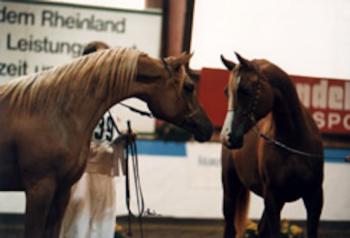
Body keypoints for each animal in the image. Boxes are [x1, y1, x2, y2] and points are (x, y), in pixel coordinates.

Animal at [220, 53, 324, 238]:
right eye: (227, 92)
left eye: (245, 90)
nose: (226, 137)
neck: (293, 141)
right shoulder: (273, 198)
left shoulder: (314, 198)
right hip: (230, 189)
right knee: (230, 227)